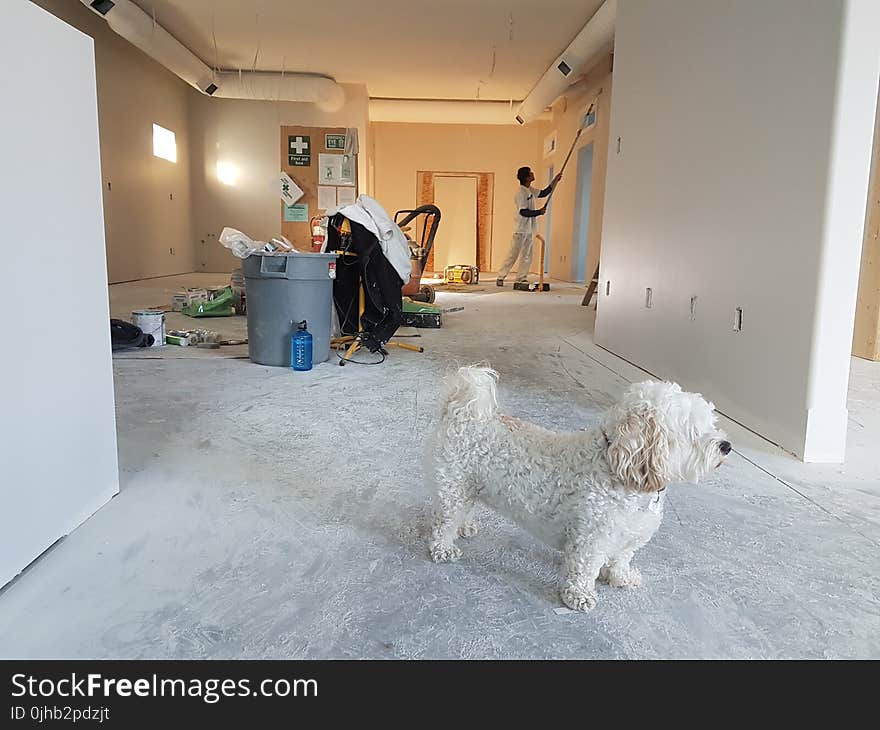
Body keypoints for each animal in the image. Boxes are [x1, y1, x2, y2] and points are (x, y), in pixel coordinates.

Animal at [426, 364, 728, 608]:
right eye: (693, 431)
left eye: (711, 423)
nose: (726, 445)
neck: (617, 468)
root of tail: (463, 412)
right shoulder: (590, 539)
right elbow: (585, 570)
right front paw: (580, 596)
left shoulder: (628, 538)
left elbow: (621, 559)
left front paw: (621, 577)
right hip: (454, 487)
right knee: (444, 522)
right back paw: (443, 548)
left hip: (470, 487)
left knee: (465, 510)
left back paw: (464, 526)